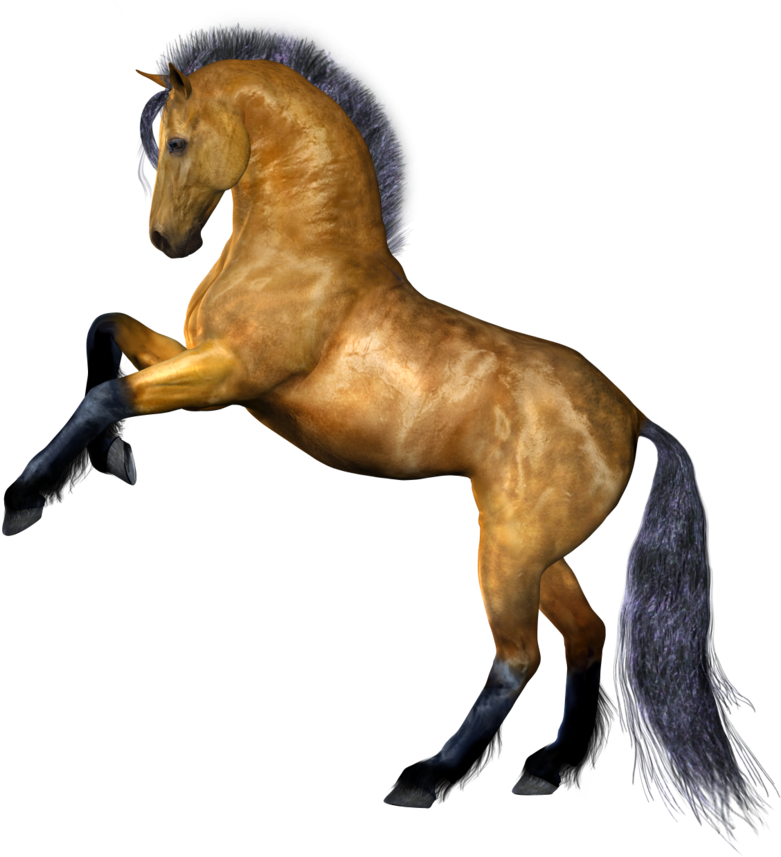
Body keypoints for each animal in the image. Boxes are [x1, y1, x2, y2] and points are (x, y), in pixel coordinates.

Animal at [2, 26, 776, 851]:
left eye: (175, 141)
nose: (165, 241)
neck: (304, 254)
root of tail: (632, 415)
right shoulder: (200, 359)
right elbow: (106, 331)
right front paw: (117, 461)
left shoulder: (233, 378)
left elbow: (103, 393)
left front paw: (22, 504)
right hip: (538, 551)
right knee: (586, 638)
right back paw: (544, 772)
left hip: (508, 551)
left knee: (517, 658)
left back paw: (422, 780)